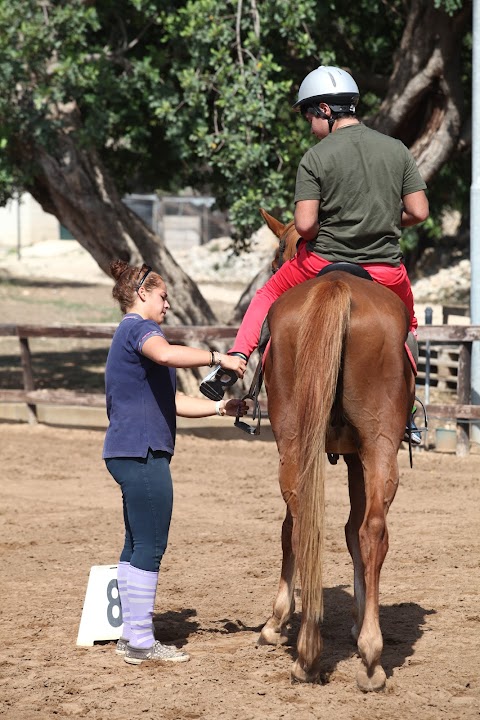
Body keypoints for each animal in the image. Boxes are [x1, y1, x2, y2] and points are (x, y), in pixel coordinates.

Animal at [256, 210, 414, 692]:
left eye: (278, 256)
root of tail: (338, 288)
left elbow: (295, 529)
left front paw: (276, 622)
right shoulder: (358, 456)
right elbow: (351, 529)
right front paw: (360, 623)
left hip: (298, 445)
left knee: (302, 523)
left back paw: (308, 653)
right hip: (378, 446)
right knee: (372, 529)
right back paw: (370, 657)